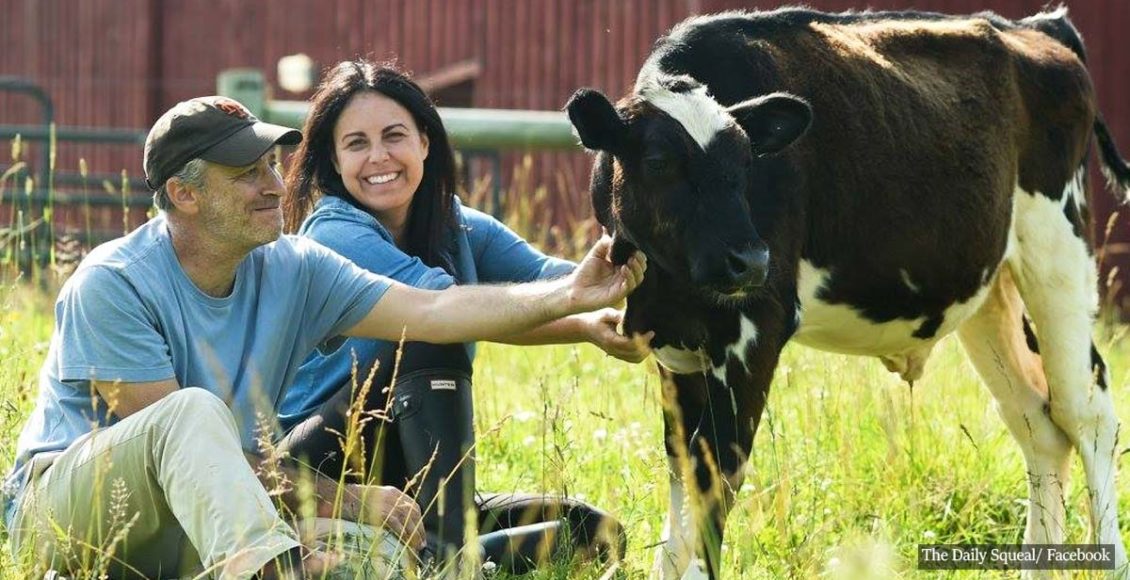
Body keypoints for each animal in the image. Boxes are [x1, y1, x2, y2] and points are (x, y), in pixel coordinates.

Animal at [569, 5, 1130, 578]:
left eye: (748, 162)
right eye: (658, 162)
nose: (750, 260)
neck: (668, 288)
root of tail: (1036, 27)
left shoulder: (754, 331)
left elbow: (717, 478)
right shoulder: (677, 347)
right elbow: (686, 476)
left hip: (1058, 253)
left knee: (1086, 414)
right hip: (990, 294)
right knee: (1036, 424)